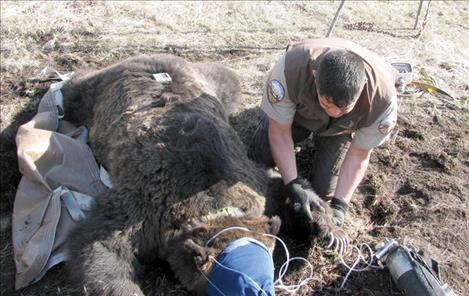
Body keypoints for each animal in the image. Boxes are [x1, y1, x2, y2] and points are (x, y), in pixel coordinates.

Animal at [61, 54, 344, 294]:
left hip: (213, 81)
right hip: (95, 91)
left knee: (228, 79)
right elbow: (101, 244)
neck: (210, 204)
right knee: (75, 91)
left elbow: (282, 184)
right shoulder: (144, 206)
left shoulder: (251, 182)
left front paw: (325, 225)